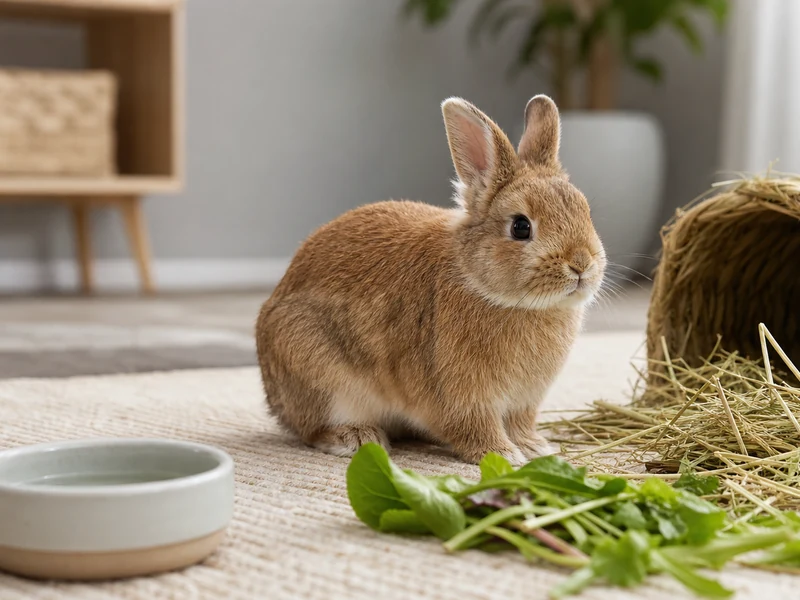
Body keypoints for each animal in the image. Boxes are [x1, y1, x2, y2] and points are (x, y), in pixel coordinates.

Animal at [255, 94, 606, 465]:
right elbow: (475, 427)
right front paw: (503, 454)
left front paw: (534, 447)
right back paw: (356, 437)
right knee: (313, 429)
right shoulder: (462, 395)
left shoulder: (523, 402)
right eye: (521, 227)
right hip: (321, 378)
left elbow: (520, 424)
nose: (581, 264)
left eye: (585, 210)